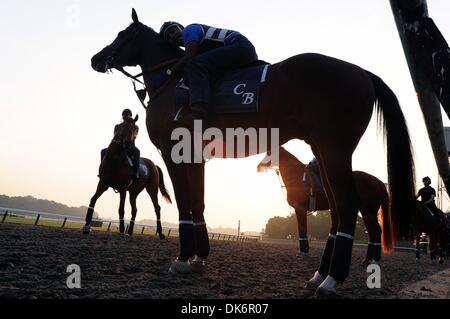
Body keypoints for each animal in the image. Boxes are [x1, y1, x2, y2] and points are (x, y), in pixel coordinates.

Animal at [256, 148, 394, 264]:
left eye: (269, 153)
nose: (258, 166)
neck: (298, 177)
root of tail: (377, 181)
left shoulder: (300, 209)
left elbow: (302, 229)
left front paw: (303, 252)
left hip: (368, 211)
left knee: (376, 231)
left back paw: (374, 260)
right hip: (366, 212)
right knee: (373, 232)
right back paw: (367, 260)